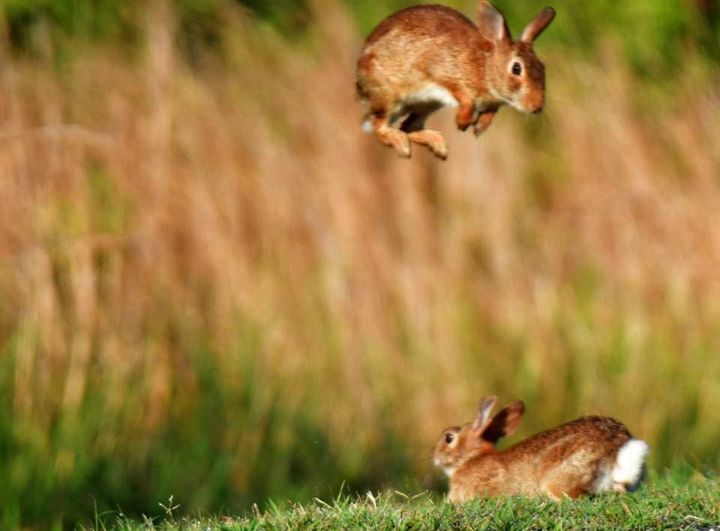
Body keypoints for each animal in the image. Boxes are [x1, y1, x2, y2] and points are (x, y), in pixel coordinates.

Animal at [356, 1, 555, 160]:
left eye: (543, 67)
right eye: (516, 69)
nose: (536, 107)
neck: (485, 67)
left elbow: (490, 112)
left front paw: (479, 127)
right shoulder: (446, 75)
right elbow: (464, 98)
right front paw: (462, 122)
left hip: (427, 105)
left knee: (409, 126)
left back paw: (438, 146)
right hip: (389, 95)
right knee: (380, 127)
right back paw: (403, 146)